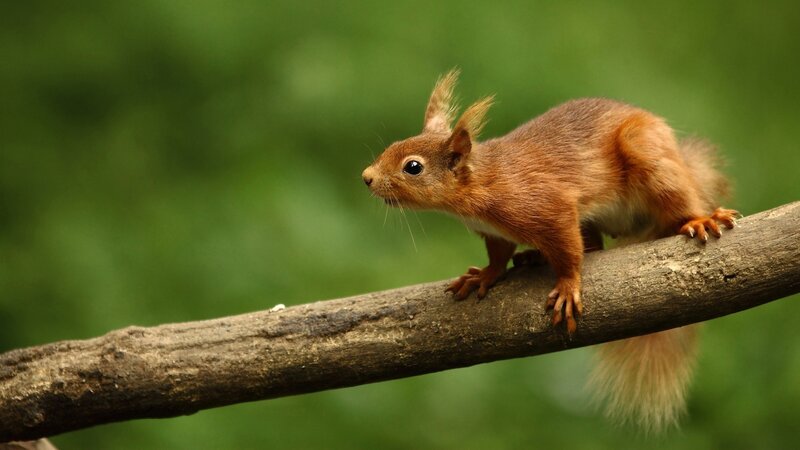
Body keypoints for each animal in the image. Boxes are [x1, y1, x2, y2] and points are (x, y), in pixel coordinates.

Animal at [361, 69, 738, 432]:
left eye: (413, 167)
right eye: (393, 145)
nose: (366, 177)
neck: (483, 183)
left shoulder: (549, 207)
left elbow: (569, 252)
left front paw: (568, 286)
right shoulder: (494, 232)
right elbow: (499, 255)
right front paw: (484, 276)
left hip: (648, 156)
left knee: (675, 202)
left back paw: (700, 218)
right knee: (594, 245)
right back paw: (534, 256)